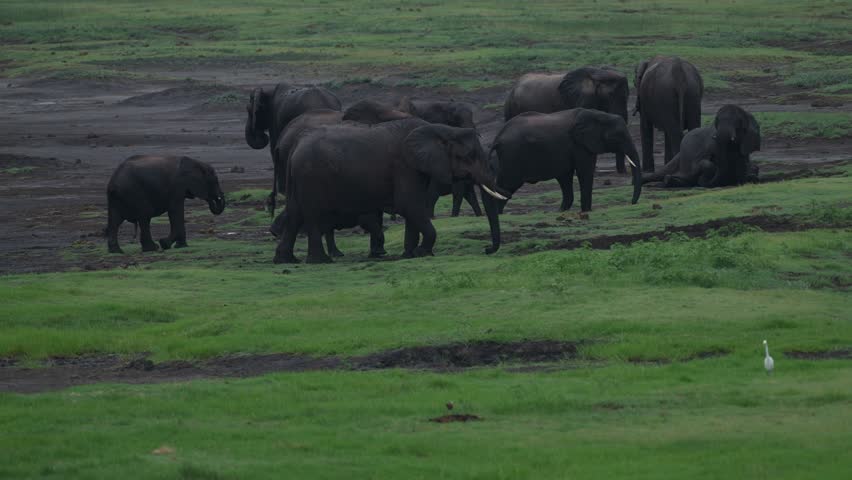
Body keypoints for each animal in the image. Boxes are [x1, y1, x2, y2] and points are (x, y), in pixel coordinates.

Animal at [273, 118, 507, 264]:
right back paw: (320, 261)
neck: (439, 129)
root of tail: (295, 145)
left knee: (295, 213)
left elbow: (414, 208)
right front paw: (423, 253)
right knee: (313, 215)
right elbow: (409, 205)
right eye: (469, 156)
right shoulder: (404, 165)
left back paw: (286, 260)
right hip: (312, 177)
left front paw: (409, 255)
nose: (487, 249)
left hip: (299, 177)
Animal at [481, 108, 641, 254]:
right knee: (506, 186)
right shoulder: (580, 145)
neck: (599, 114)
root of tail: (497, 137)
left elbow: (565, 177)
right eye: (618, 136)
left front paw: (562, 211)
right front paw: (586, 211)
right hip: (513, 157)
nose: (632, 203)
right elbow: (584, 172)